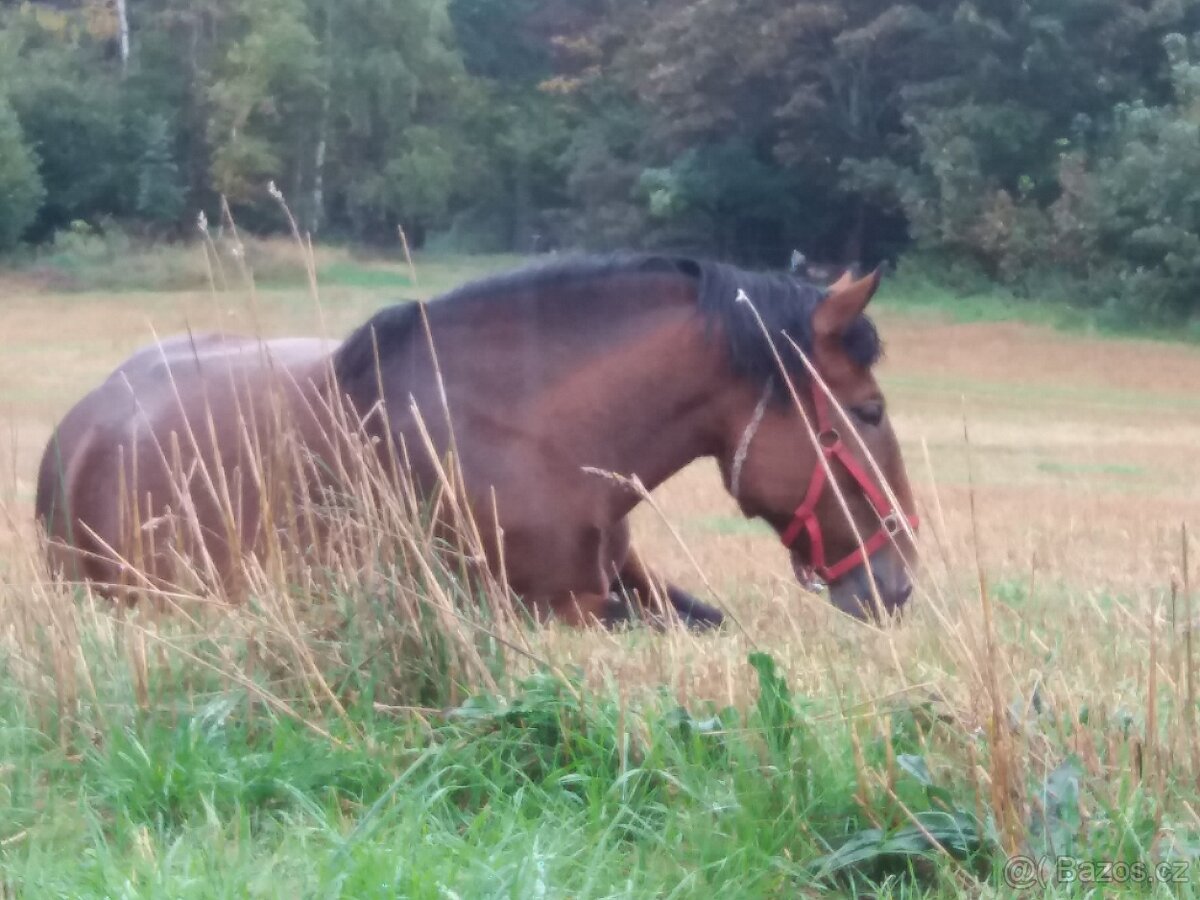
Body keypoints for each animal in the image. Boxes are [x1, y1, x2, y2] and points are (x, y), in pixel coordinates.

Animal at [35, 255, 916, 628]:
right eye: (869, 411)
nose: (899, 582)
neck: (532, 430)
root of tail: (76, 430)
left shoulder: (629, 584)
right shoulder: (561, 609)